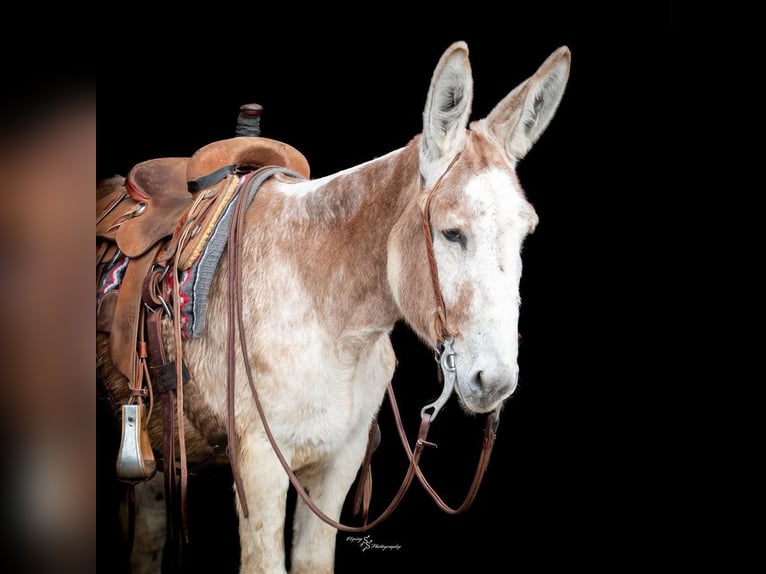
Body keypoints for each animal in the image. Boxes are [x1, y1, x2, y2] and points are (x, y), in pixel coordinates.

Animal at [97, 40, 571, 573]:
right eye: (452, 233)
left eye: (525, 233)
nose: (496, 381)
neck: (328, 316)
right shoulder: (260, 468)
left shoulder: (337, 466)